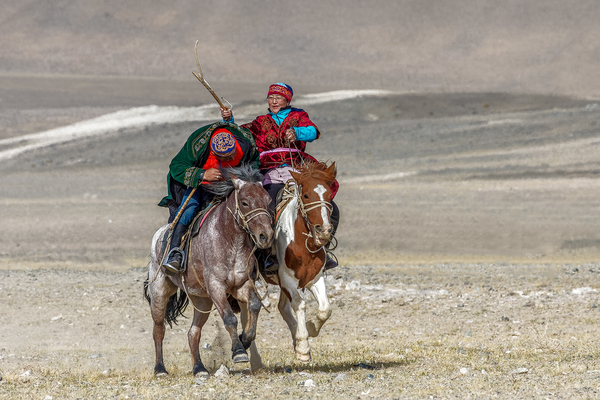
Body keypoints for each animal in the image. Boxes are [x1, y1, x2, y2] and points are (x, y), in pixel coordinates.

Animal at [144, 164, 274, 377]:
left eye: (268, 200)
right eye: (245, 202)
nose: (266, 236)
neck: (229, 240)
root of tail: (160, 234)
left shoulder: (242, 284)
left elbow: (254, 305)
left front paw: (244, 340)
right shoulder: (216, 287)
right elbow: (229, 318)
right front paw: (239, 352)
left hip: (201, 300)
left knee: (193, 333)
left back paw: (199, 368)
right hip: (160, 292)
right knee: (158, 330)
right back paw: (160, 369)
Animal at [251, 161, 338, 365]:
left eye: (329, 195)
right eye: (306, 195)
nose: (324, 230)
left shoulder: (314, 277)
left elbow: (325, 309)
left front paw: (310, 329)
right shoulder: (287, 279)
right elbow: (300, 304)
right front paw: (304, 346)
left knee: (282, 307)